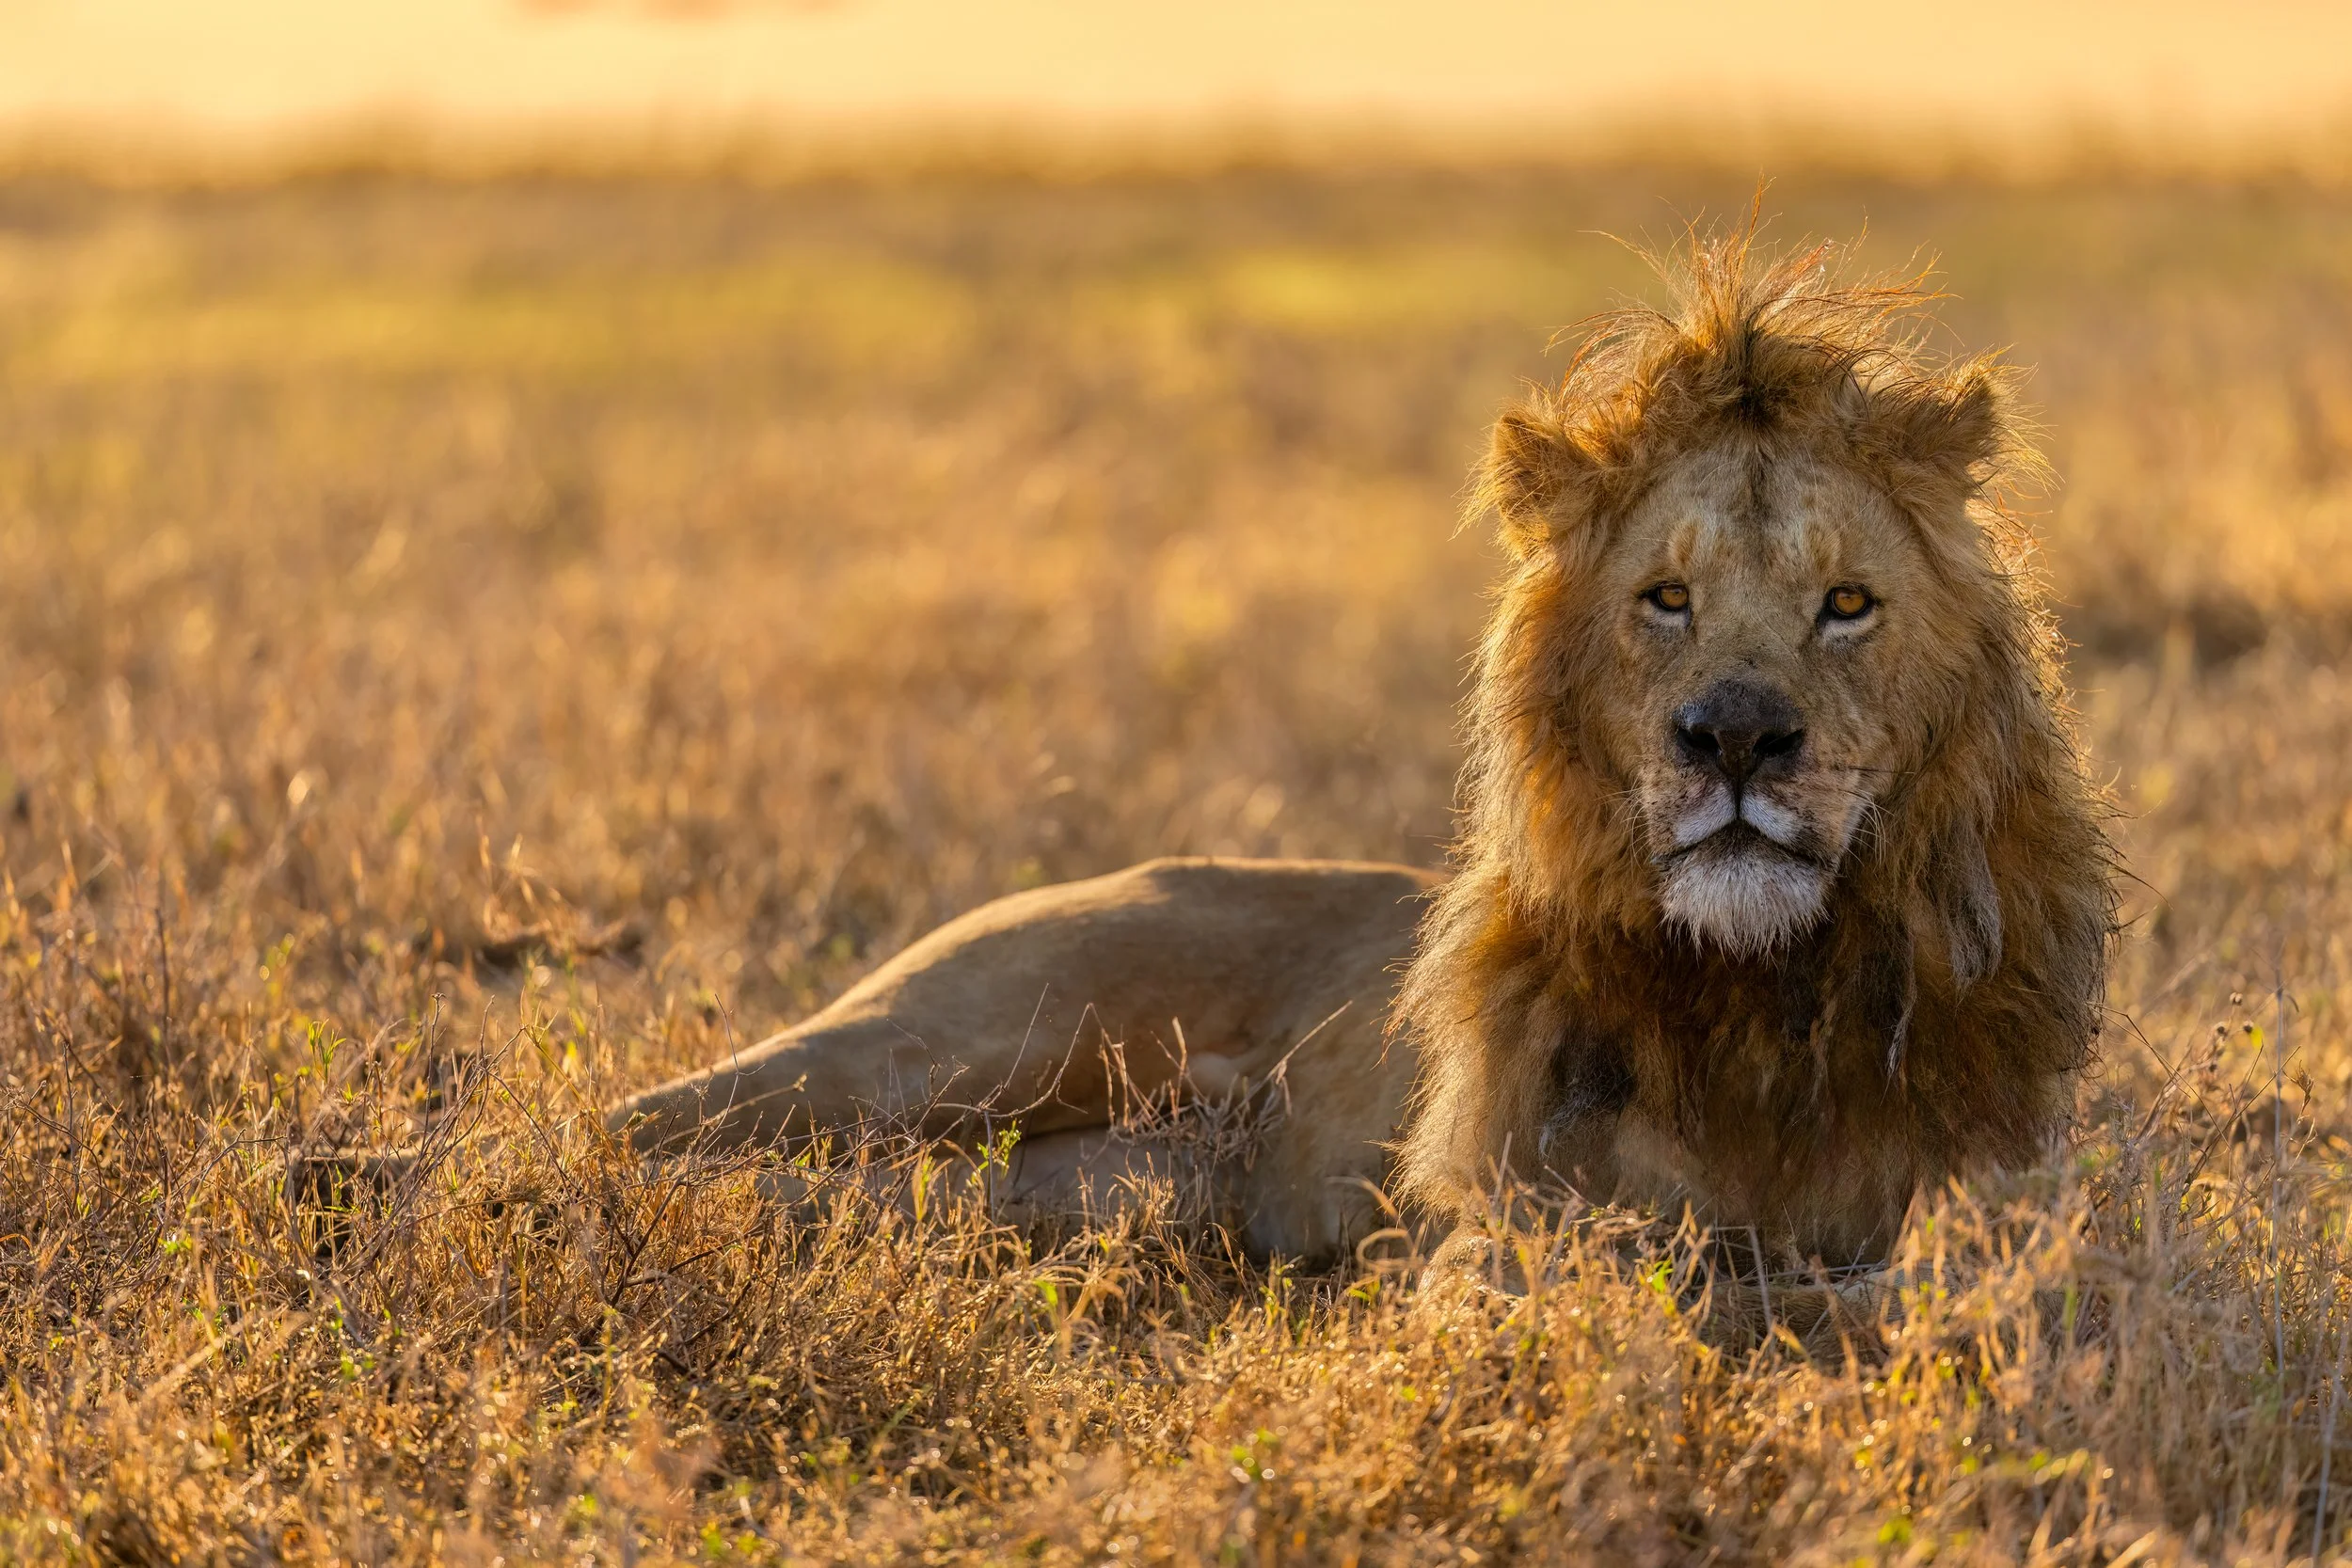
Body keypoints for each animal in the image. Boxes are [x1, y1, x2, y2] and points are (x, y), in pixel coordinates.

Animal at [608, 227, 2114, 1276]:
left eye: (1846, 602)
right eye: (1665, 599)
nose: (1734, 733)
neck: (1764, 995)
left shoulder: (2006, 1208)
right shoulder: (1500, 1225)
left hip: (1121, 1181)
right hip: (961, 1039)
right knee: (641, 1123)